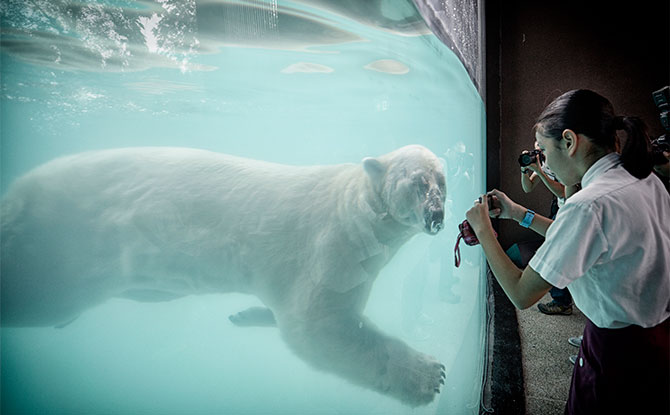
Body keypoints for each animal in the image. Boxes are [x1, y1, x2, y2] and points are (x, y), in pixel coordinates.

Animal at [3, 145, 452, 406]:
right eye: (417, 182)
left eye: (443, 182)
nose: (436, 216)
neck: (354, 205)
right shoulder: (332, 246)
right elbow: (318, 325)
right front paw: (428, 375)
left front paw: (248, 314)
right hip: (60, 253)